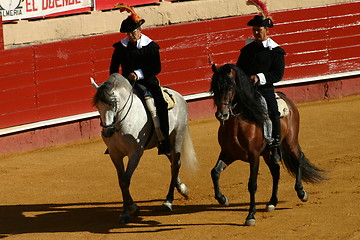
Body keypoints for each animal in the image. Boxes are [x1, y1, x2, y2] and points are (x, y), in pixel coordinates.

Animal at [90, 72, 197, 223]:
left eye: (114, 103)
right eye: (97, 106)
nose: (107, 132)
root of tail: (179, 96)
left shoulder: (135, 153)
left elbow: (125, 180)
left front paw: (130, 210)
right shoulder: (114, 154)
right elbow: (121, 181)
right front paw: (129, 209)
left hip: (177, 135)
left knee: (176, 163)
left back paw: (168, 201)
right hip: (162, 143)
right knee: (172, 162)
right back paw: (182, 188)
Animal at [210, 63, 324, 225]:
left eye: (230, 87)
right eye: (214, 87)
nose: (222, 114)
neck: (237, 124)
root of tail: (285, 97)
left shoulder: (254, 156)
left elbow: (252, 184)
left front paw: (251, 215)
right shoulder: (228, 153)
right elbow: (215, 172)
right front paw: (222, 199)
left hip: (290, 141)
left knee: (299, 158)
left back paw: (301, 192)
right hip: (267, 153)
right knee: (276, 171)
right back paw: (272, 202)